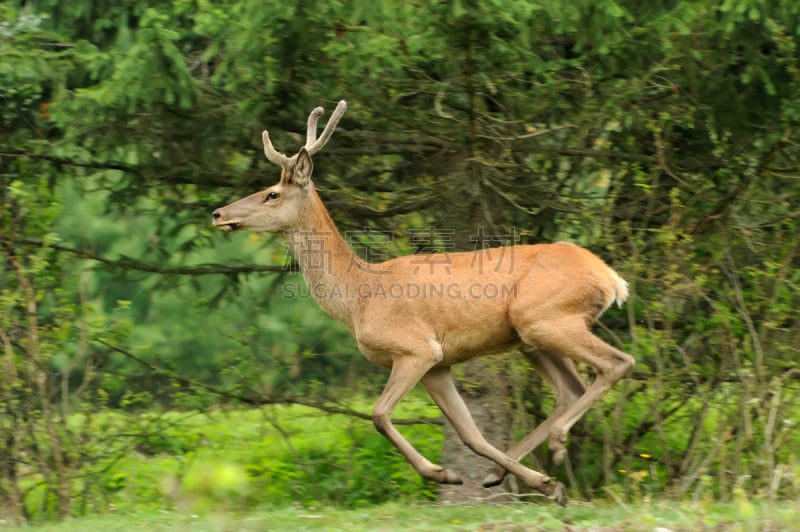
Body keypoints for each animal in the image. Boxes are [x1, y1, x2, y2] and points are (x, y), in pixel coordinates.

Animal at [212, 102, 636, 504]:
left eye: (272, 193)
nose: (217, 213)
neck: (359, 296)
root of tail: (610, 278)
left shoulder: (416, 349)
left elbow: (379, 414)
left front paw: (440, 474)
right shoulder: (440, 364)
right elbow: (470, 434)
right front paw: (540, 483)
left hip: (545, 318)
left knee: (618, 362)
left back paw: (557, 443)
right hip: (530, 337)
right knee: (571, 389)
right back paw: (505, 473)